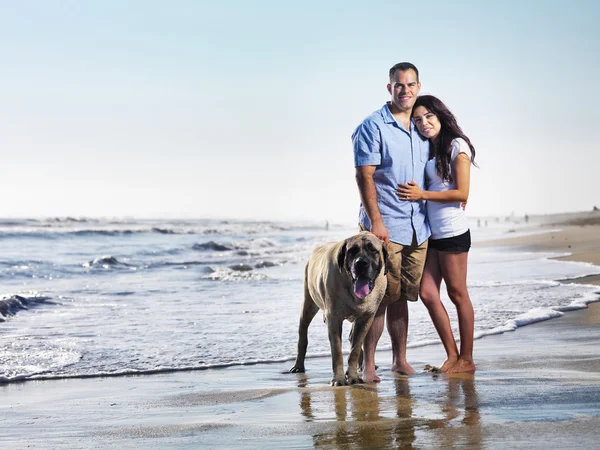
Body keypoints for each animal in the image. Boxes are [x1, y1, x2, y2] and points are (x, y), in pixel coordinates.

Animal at [290, 232, 390, 386]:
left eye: (373, 250)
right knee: (303, 334)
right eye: (352, 251)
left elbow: (355, 348)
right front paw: (338, 379)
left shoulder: (365, 319)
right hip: (308, 304)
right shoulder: (334, 318)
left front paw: (353, 376)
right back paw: (298, 366)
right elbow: (337, 351)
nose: (360, 263)